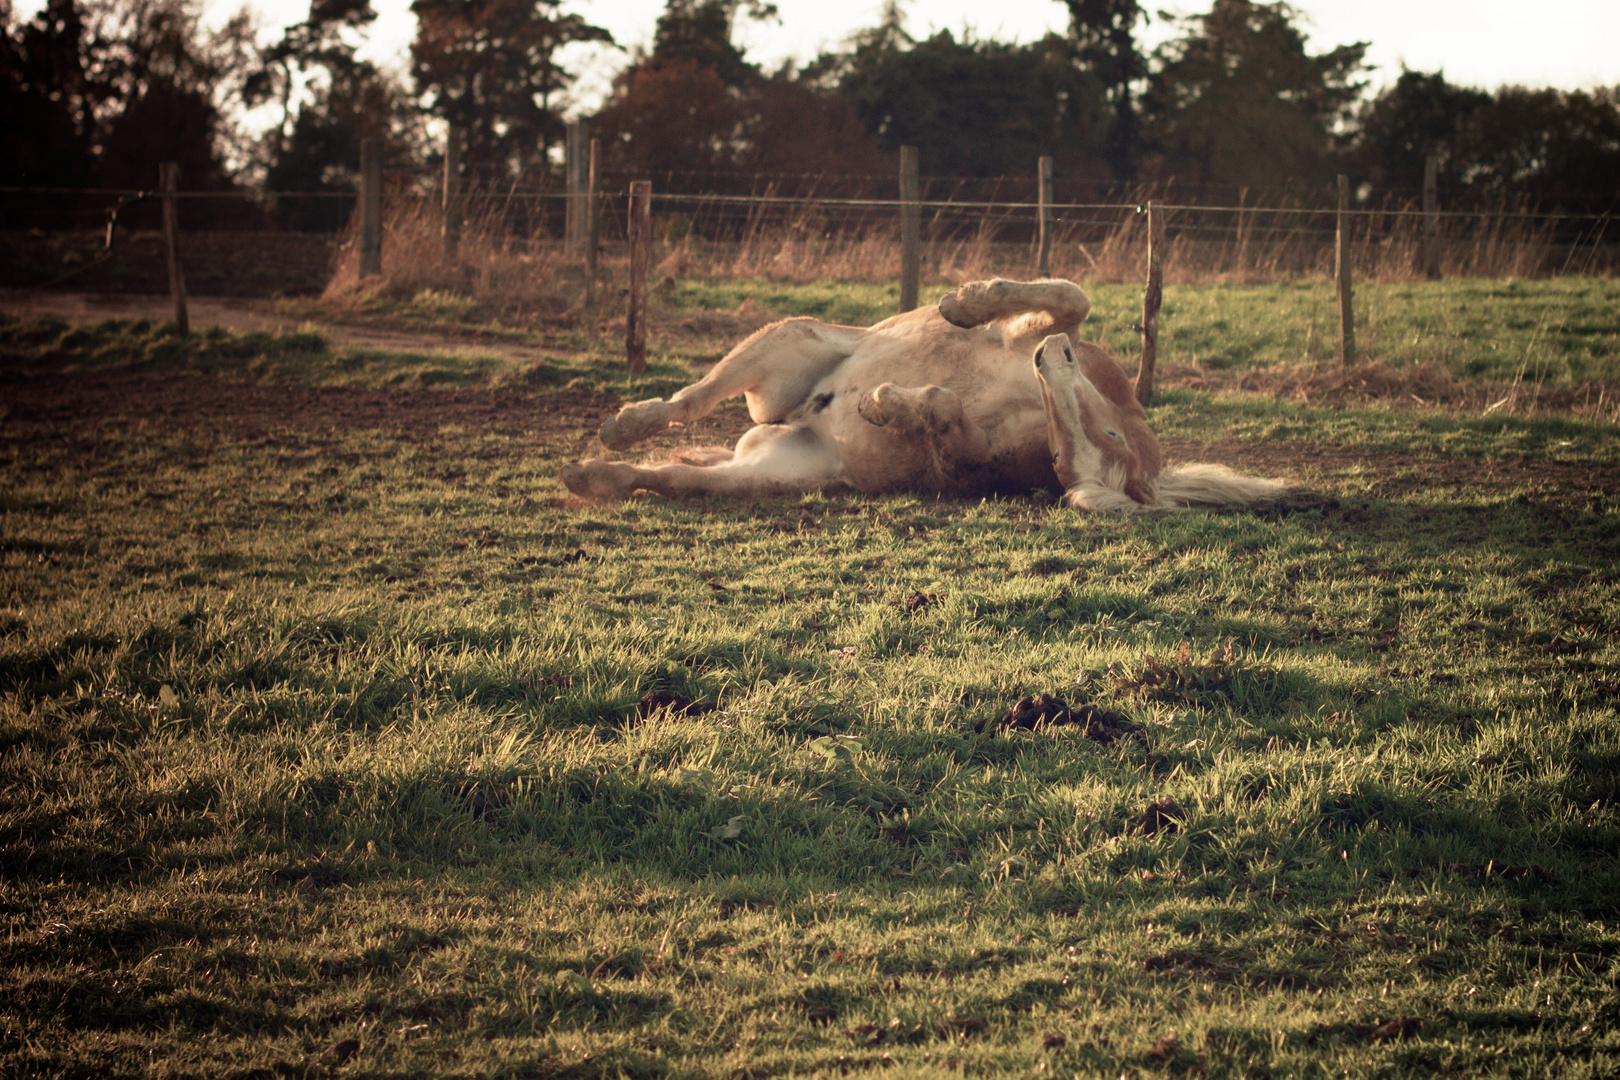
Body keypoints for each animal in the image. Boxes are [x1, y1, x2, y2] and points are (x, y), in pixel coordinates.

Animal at [563, 278, 1283, 514]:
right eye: (1110, 431)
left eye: (1096, 445)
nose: (1049, 361)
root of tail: (792, 421)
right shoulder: (1043, 331)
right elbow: (1069, 295)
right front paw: (966, 303)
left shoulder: (965, 459)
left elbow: (942, 414)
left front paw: (886, 404)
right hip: (790, 339)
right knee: (689, 400)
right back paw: (622, 425)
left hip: (764, 473)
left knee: (669, 476)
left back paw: (591, 474)